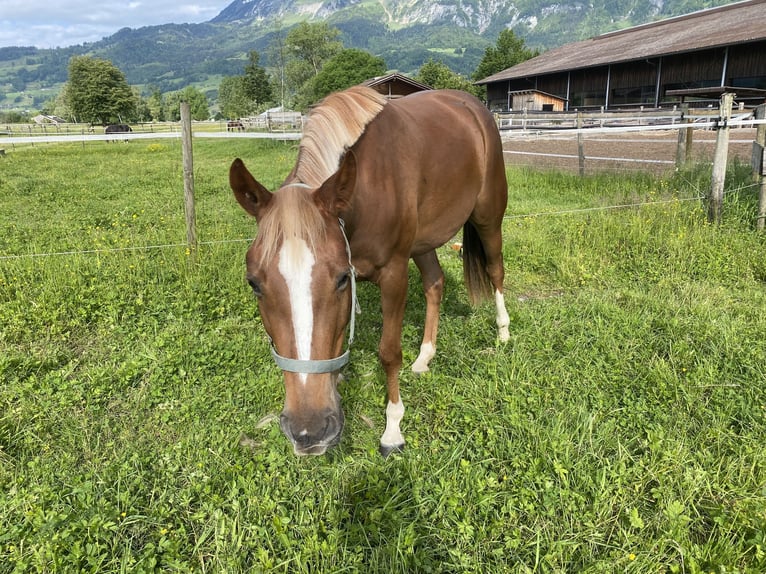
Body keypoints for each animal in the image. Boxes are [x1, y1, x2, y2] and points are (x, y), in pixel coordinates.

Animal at [231, 85, 512, 460]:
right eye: (254, 284)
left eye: (340, 279)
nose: (308, 431)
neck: (365, 190)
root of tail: (472, 106)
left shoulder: (392, 275)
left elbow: (388, 353)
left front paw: (393, 430)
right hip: (422, 243)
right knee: (435, 284)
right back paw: (425, 357)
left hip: (488, 216)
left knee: (496, 270)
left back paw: (503, 333)